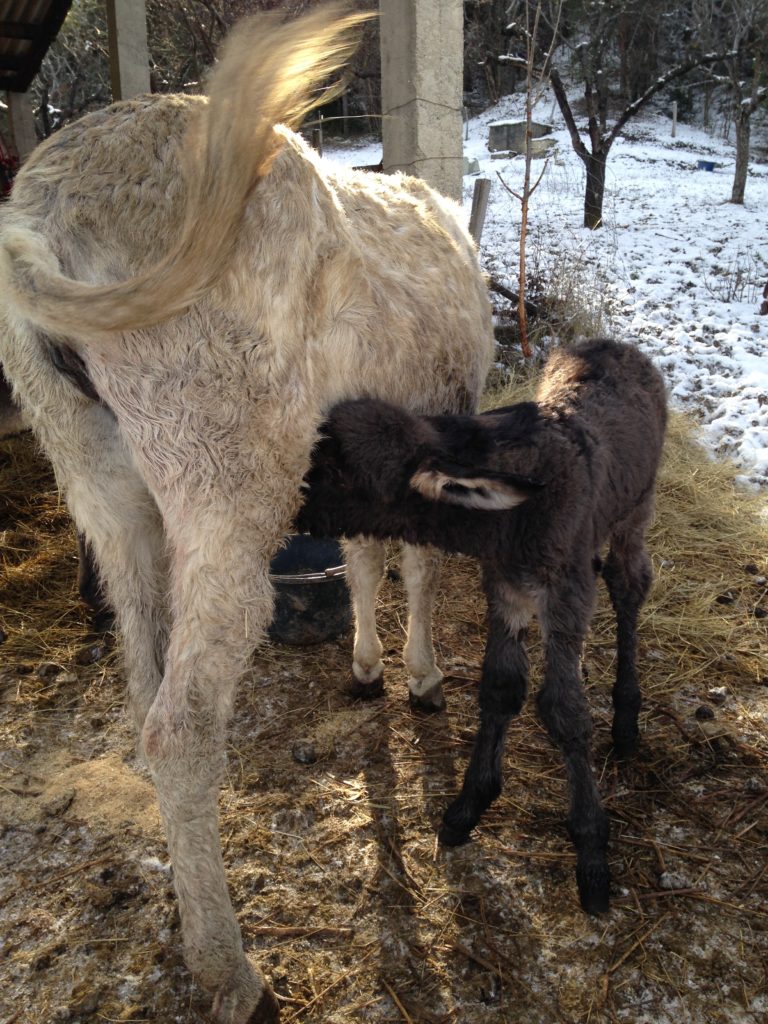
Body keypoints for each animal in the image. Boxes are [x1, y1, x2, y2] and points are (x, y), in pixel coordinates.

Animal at [0, 6, 493, 1021]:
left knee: (143, 685)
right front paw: (421, 677)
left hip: (103, 483)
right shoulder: (432, 445)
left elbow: (364, 558)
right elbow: (418, 565)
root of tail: (43, 207)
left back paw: (183, 900)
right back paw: (229, 969)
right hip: (224, 469)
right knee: (182, 724)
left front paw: (367, 666)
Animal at [296, 338, 668, 914]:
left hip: (636, 510)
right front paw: (469, 806)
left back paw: (627, 717)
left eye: (340, 472)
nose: (288, 507)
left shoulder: (563, 596)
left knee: (629, 587)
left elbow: (563, 709)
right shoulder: (506, 592)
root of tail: (609, 344)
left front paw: (590, 848)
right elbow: (499, 688)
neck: (517, 514)